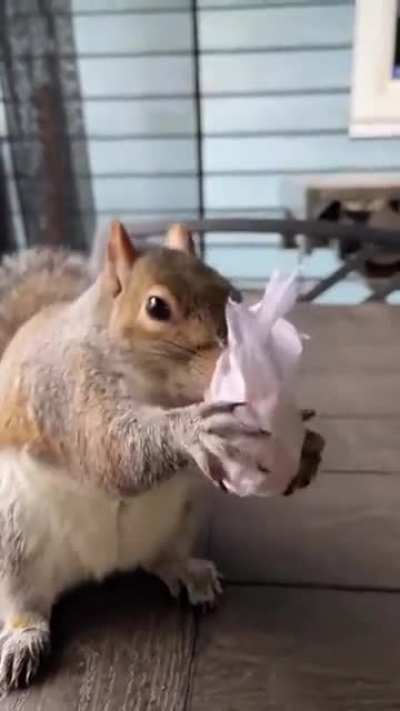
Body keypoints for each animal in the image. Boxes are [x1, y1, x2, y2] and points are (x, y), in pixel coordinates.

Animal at [0, 220, 276, 692]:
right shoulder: (65, 390)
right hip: (12, 542)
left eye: (232, 293)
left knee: (160, 558)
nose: (239, 360)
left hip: (185, 516)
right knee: (25, 603)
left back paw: (188, 571)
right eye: (156, 307)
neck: (157, 389)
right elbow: (110, 448)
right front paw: (193, 429)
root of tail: (101, 566)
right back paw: (23, 639)